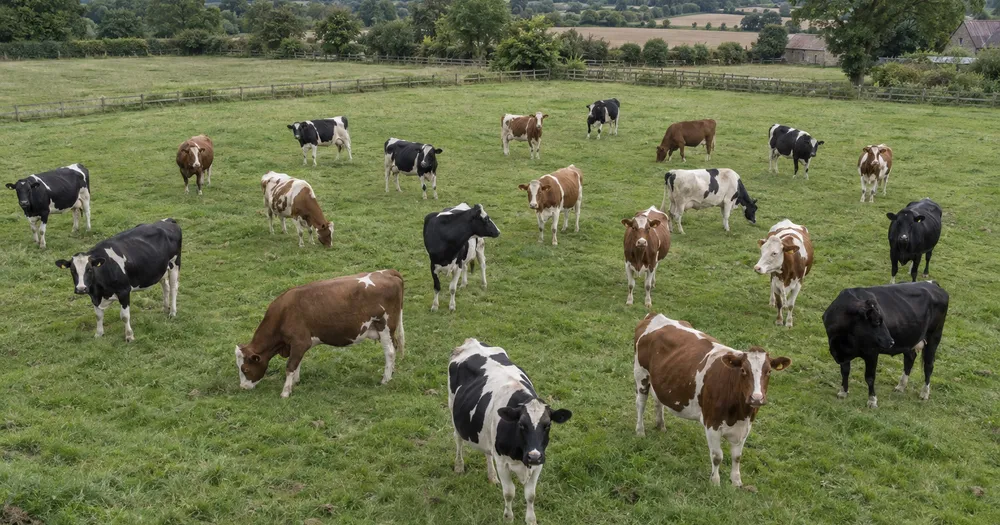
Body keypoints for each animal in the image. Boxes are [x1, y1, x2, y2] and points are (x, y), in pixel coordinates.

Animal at [235, 270, 405, 398]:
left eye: (245, 369)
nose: (243, 387)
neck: (283, 313)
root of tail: (387, 272)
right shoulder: (297, 345)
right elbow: (297, 363)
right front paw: (295, 381)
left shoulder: (300, 342)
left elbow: (290, 366)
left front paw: (285, 392)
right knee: (395, 347)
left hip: (384, 326)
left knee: (390, 352)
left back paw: (385, 379)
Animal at [449, 338, 572, 525]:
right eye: (521, 425)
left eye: (547, 425)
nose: (533, 456)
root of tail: (472, 341)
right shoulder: (502, 463)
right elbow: (509, 493)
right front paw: (508, 517)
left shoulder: (539, 463)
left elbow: (531, 495)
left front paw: (531, 520)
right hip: (452, 410)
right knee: (458, 440)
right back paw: (459, 466)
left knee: (487, 452)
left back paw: (492, 477)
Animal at [633, 314, 791, 486]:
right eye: (743, 370)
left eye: (769, 371)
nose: (756, 398)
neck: (739, 413)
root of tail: (654, 315)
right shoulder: (712, 424)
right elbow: (717, 456)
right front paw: (715, 482)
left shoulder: (745, 427)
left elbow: (737, 457)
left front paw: (736, 482)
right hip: (641, 375)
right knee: (640, 404)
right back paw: (640, 431)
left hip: (660, 380)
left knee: (658, 401)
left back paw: (660, 426)